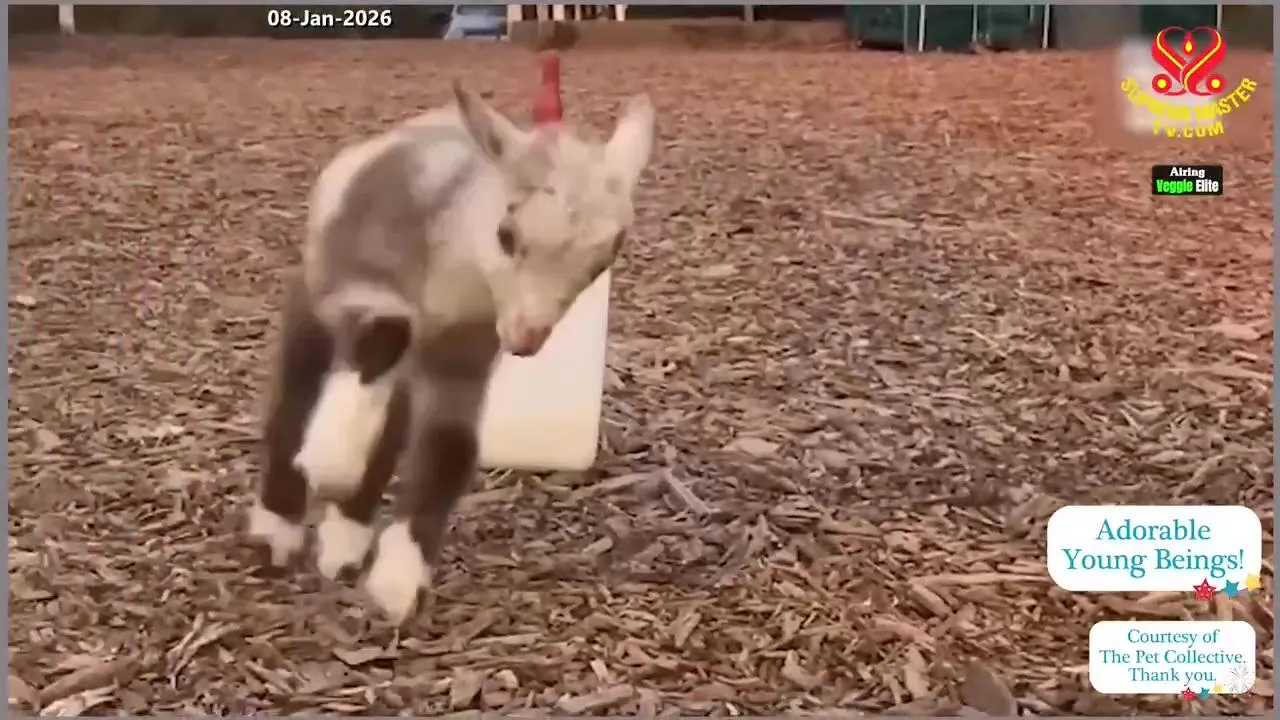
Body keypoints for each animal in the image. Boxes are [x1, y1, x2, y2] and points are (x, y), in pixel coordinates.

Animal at [246, 71, 656, 624]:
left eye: (604, 259)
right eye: (507, 234)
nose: (526, 339)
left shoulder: (464, 352)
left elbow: (450, 445)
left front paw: (399, 580)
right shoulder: (353, 286)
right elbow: (380, 335)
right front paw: (331, 461)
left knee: (392, 424)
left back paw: (346, 541)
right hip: (312, 295)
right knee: (297, 391)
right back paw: (278, 529)